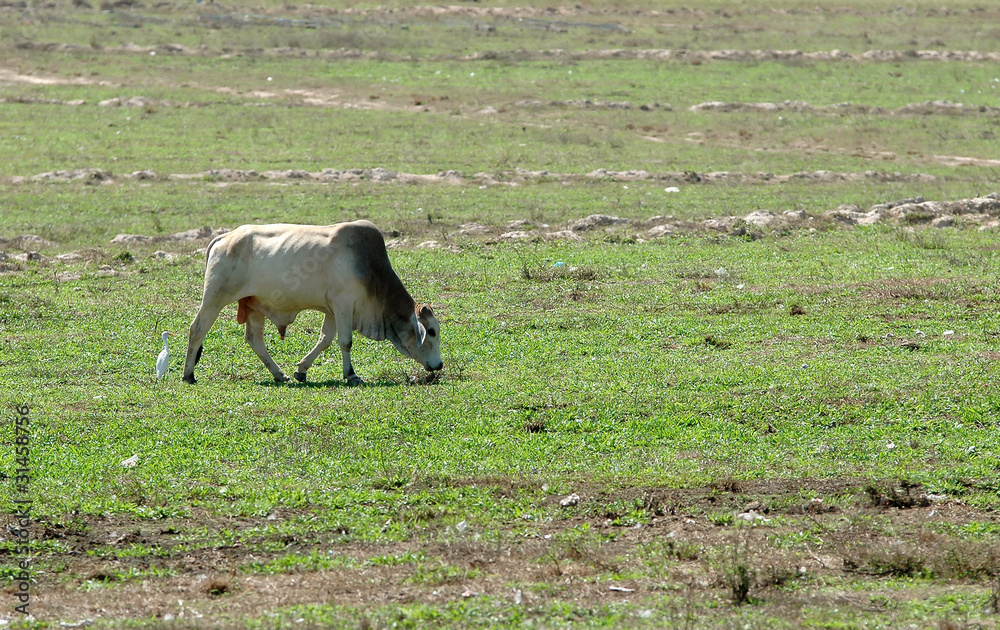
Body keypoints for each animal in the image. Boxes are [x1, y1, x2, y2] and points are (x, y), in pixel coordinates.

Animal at [184, 222, 442, 390]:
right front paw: (351, 375)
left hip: (254, 305)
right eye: (431, 332)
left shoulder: (332, 310)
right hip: (214, 299)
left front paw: (301, 370)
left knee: (254, 339)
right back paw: (189, 374)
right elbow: (345, 342)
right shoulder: (343, 304)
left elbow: (325, 340)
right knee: (197, 329)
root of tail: (224, 238)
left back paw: (280, 374)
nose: (439, 365)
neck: (372, 272)